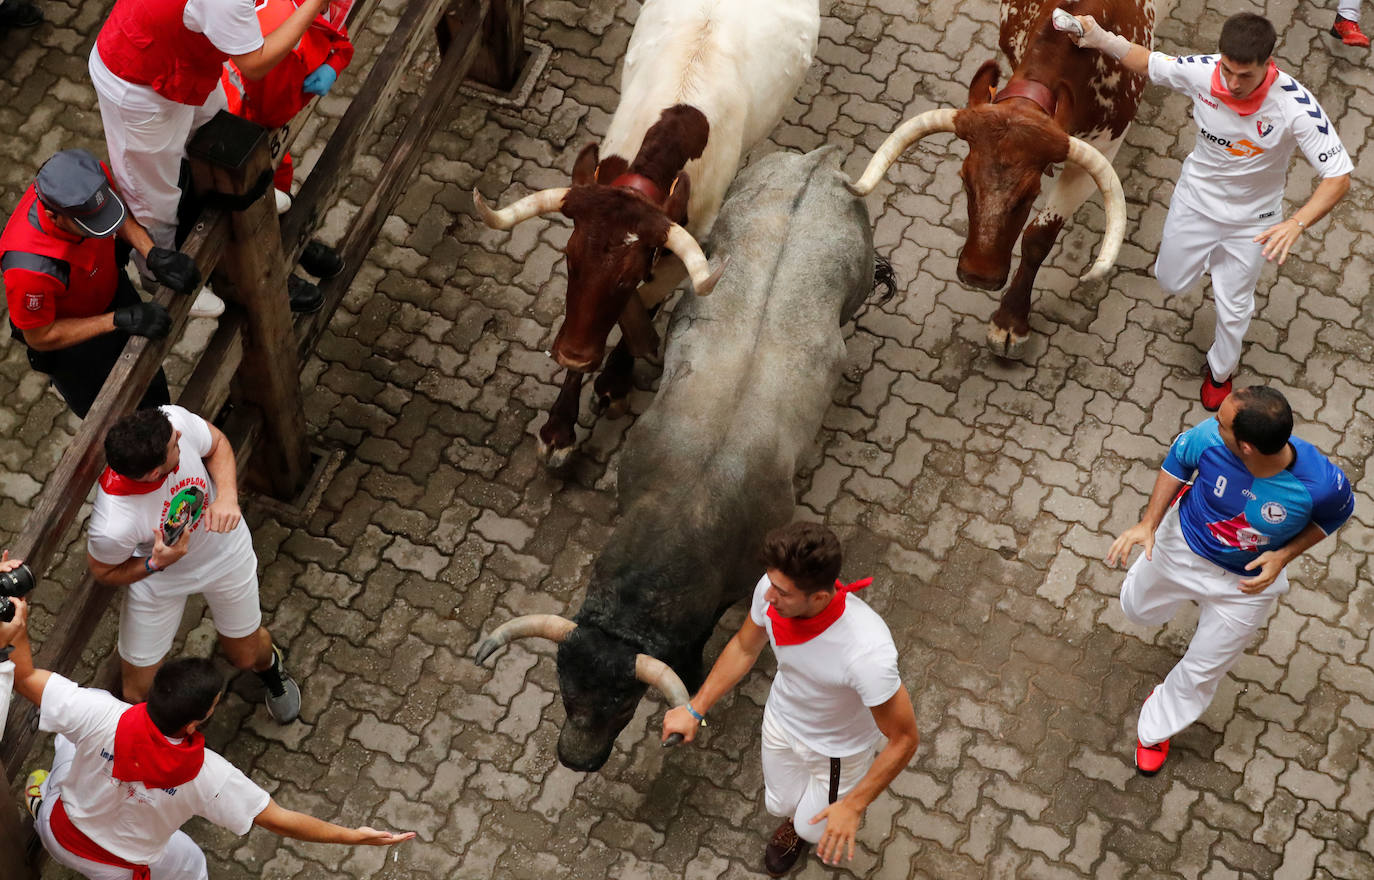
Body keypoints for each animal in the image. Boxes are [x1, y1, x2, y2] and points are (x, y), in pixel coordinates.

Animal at [475, 0, 813, 467]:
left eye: (628, 276)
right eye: (568, 260)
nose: (571, 355)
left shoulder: (684, 246)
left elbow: (642, 302)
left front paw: (614, 379)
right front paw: (561, 426)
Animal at [846, 0, 1148, 360]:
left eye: (1031, 194)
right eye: (964, 178)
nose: (979, 275)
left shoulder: (1103, 149)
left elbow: (1038, 237)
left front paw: (1011, 320)